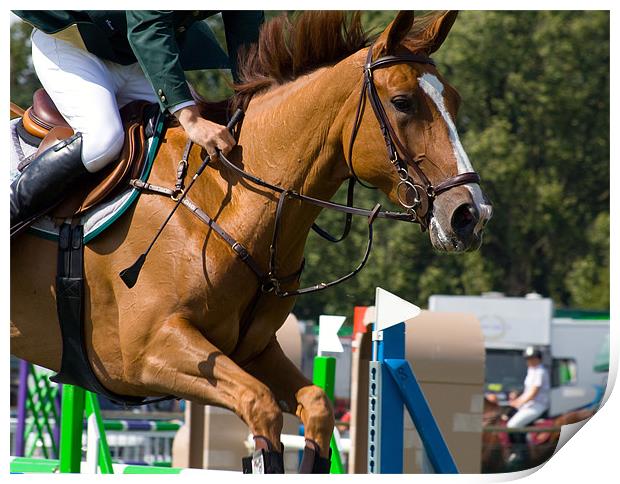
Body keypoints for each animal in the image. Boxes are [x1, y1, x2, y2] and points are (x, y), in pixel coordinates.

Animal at [9, 11, 492, 472]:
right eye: (402, 102)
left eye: (454, 101)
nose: (471, 216)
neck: (230, 198)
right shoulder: (147, 354)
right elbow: (260, 407)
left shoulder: (252, 350)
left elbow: (316, 406)